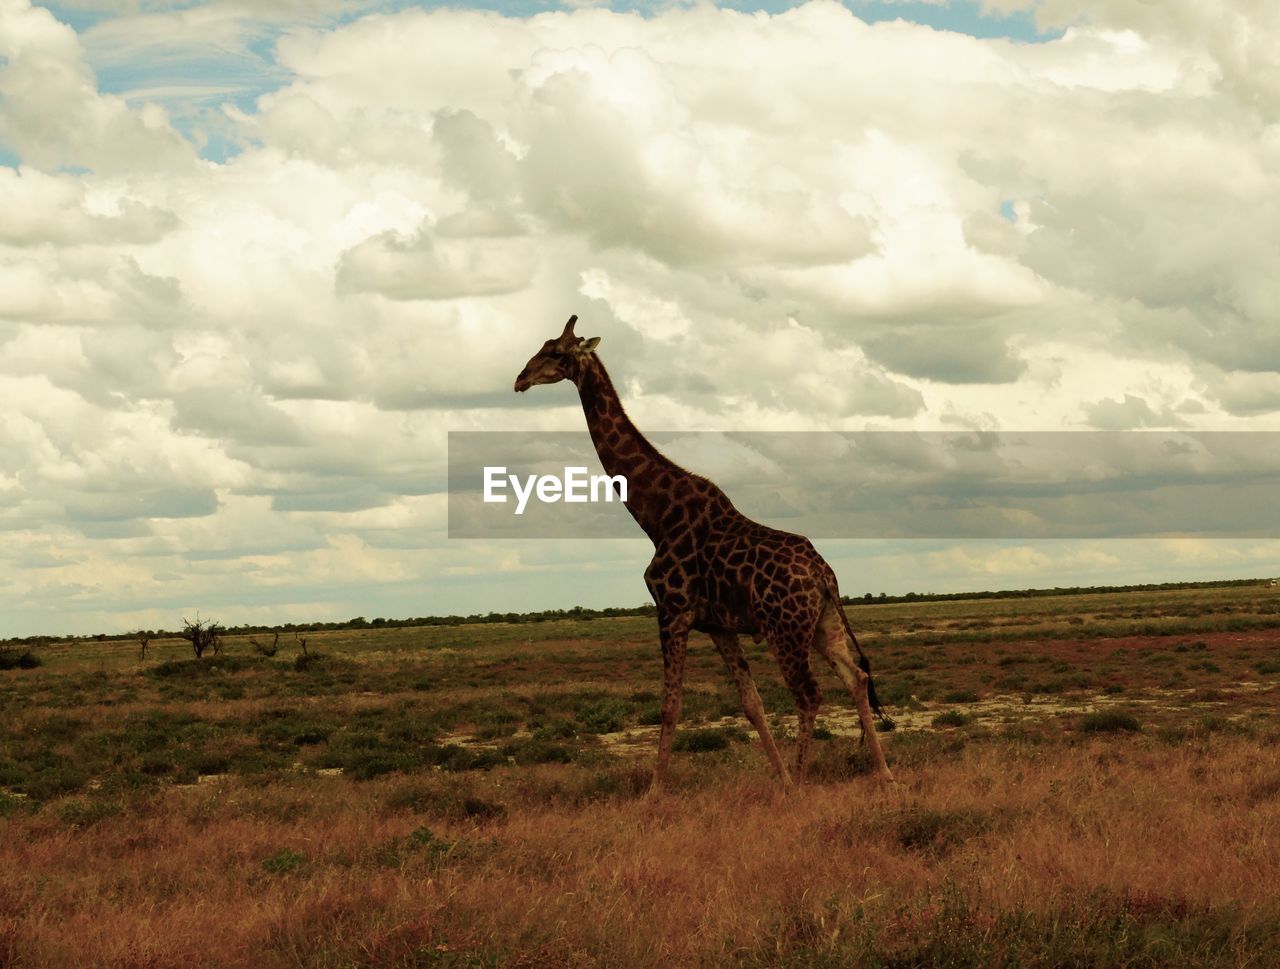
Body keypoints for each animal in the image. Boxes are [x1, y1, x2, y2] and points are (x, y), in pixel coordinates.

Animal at [509, 317, 890, 788]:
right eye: (543, 346)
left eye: (558, 353)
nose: (520, 379)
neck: (655, 515)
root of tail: (825, 575)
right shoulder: (718, 625)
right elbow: (751, 704)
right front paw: (780, 781)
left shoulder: (672, 611)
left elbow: (670, 706)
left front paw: (653, 792)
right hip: (823, 623)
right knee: (856, 676)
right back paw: (885, 776)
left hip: (785, 629)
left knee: (809, 694)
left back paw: (805, 783)